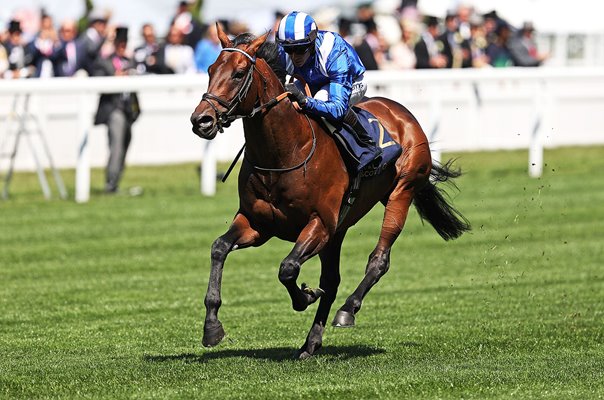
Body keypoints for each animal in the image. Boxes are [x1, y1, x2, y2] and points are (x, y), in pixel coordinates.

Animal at [191, 25, 470, 360]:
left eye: (239, 72)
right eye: (210, 69)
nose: (201, 120)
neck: (284, 153)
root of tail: (401, 112)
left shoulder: (320, 224)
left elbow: (288, 268)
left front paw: (305, 296)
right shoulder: (258, 224)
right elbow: (219, 248)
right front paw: (211, 328)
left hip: (400, 193)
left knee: (379, 260)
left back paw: (347, 310)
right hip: (339, 229)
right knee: (333, 280)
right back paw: (311, 342)